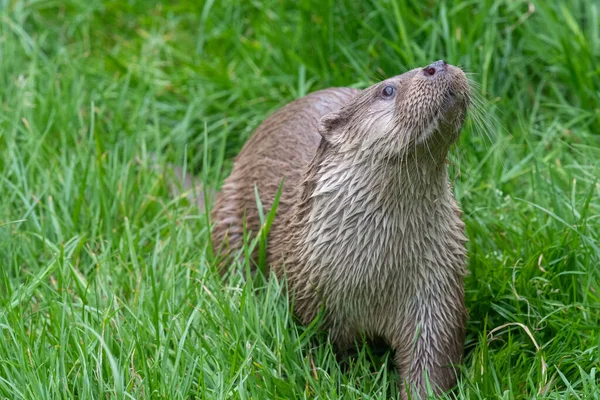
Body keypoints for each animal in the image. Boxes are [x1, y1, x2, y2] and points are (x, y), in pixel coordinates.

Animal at [210, 59, 468, 396]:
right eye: (387, 89)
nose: (437, 64)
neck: (377, 272)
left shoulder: (438, 287)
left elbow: (433, 360)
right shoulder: (311, 298)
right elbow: (324, 351)